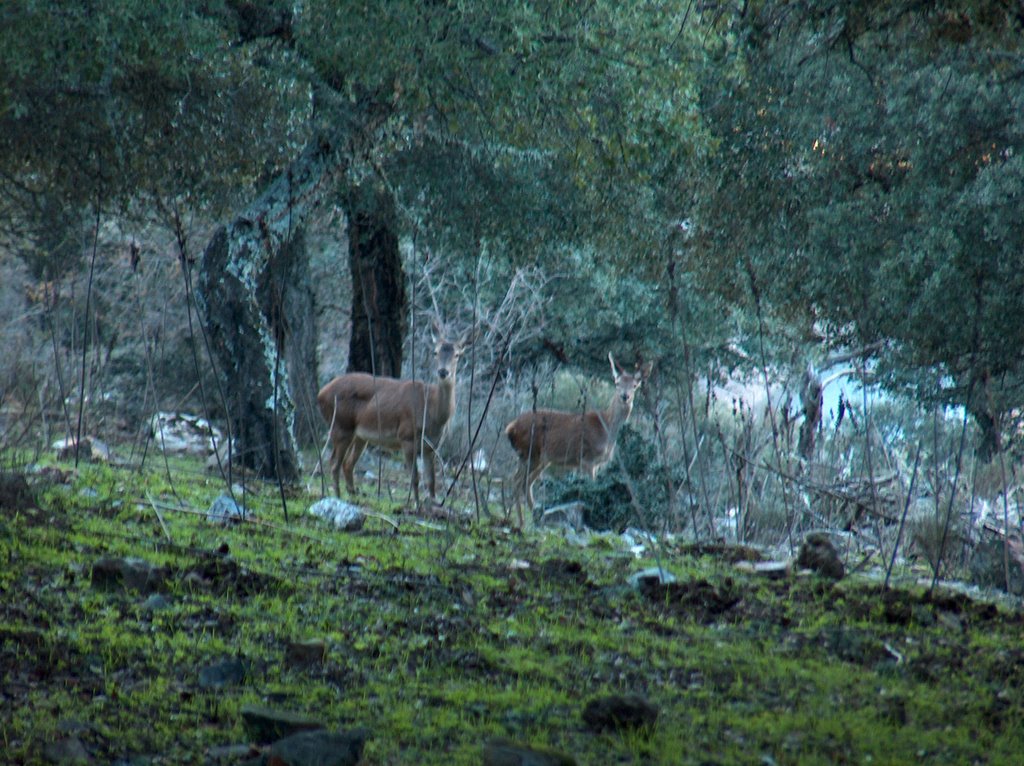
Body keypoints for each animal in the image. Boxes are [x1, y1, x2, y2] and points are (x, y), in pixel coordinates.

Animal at [317, 321, 468, 507]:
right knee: (334, 463)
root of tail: (321, 394)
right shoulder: (406, 436)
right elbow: (415, 478)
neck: (431, 412)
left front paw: (433, 505)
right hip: (341, 424)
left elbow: (431, 482)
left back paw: (353, 496)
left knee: (347, 464)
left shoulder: (431, 446)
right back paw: (337, 498)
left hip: (360, 435)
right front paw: (416, 505)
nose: (443, 372)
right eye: (435, 352)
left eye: (457, 355)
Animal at [505, 352, 655, 528]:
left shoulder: (598, 464)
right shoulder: (587, 459)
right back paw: (521, 522)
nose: (625, 396)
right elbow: (592, 487)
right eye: (617, 383)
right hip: (529, 452)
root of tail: (511, 427)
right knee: (516, 481)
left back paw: (536, 517)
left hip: (541, 459)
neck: (606, 428)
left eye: (635, 385)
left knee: (526, 482)